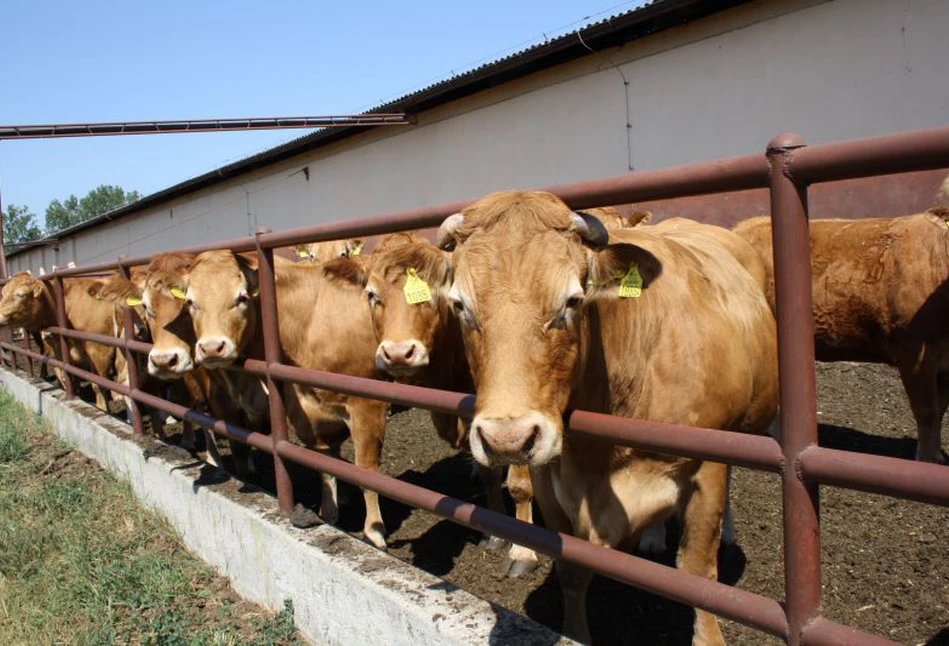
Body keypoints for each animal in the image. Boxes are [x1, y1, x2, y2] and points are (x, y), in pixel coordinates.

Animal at [0, 272, 121, 412]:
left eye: (21, 295)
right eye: (3, 293)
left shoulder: (100, 352)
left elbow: (98, 384)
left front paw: (103, 408)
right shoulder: (61, 351)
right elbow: (65, 376)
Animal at [185, 251, 388, 548]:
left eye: (241, 297)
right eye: (190, 302)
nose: (212, 348)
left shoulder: (368, 406)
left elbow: (367, 470)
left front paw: (374, 532)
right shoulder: (309, 412)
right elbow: (325, 463)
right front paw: (329, 512)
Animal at [436, 190, 776, 644]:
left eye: (572, 301)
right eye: (460, 305)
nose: (507, 440)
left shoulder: (708, 467)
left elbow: (697, 571)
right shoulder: (550, 477)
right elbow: (571, 566)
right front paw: (574, 634)